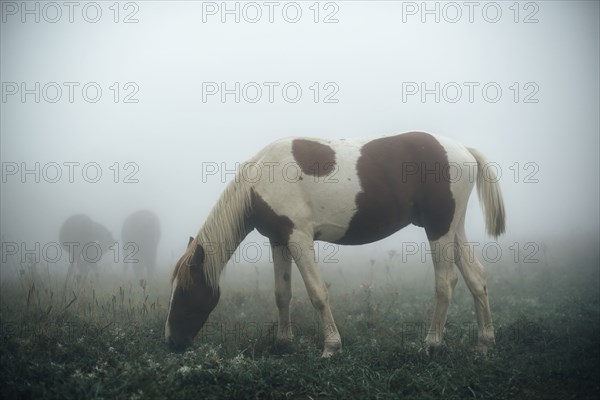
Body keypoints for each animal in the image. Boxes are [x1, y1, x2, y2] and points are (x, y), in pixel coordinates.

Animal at [165, 131, 506, 356]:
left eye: (184, 291)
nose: (170, 342)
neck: (261, 178)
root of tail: (463, 150)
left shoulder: (299, 238)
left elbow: (317, 292)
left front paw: (331, 346)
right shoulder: (279, 240)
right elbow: (282, 294)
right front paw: (283, 342)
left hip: (438, 228)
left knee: (445, 282)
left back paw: (432, 343)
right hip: (452, 228)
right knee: (476, 277)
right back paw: (485, 342)